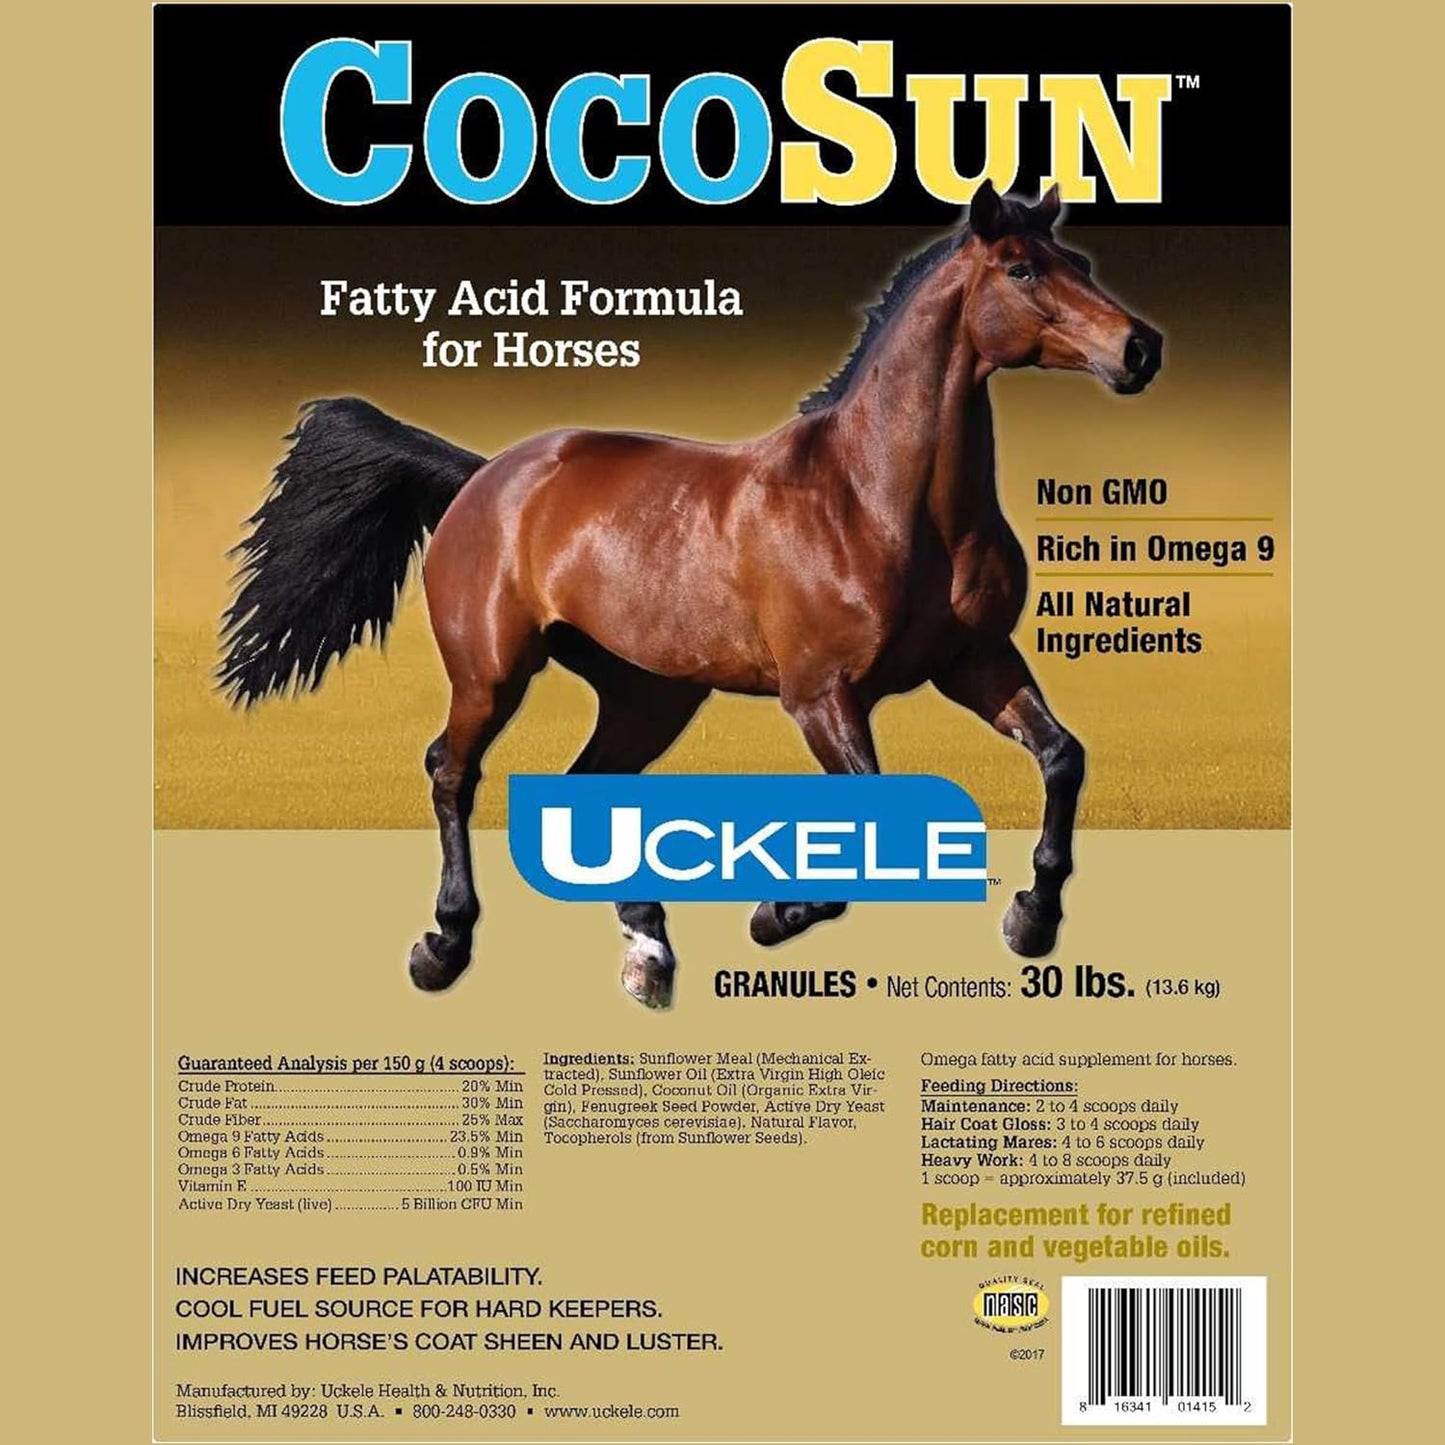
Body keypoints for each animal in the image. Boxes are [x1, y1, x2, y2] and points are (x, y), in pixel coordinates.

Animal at [219, 181, 1162, 1008]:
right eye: (1021, 269)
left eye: (1077, 258)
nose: (1139, 349)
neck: (877, 499)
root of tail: (485, 476)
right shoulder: (820, 694)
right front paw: (776, 913)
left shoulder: (976, 662)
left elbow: (1061, 756)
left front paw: (1031, 920)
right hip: (491, 674)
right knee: (451, 769)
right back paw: (444, 946)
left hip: (649, 694)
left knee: (586, 785)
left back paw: (648, 944)